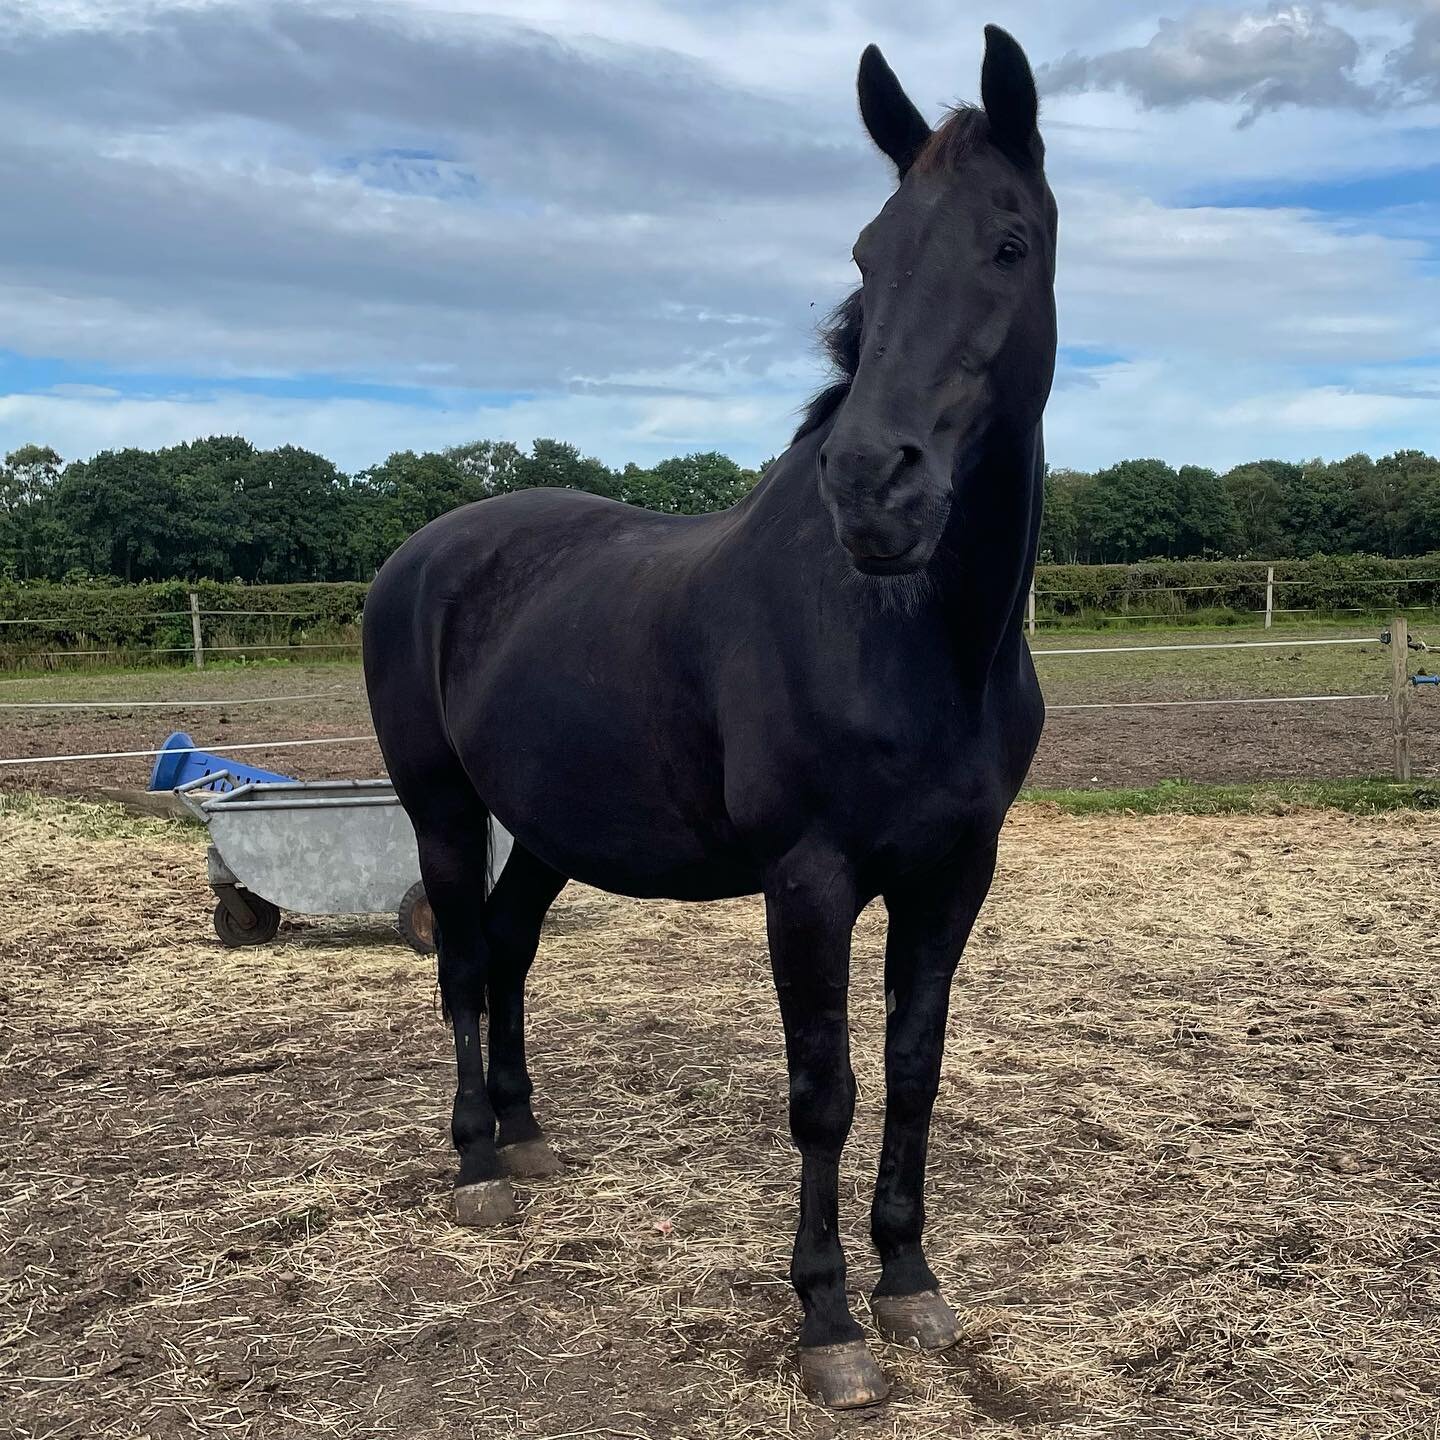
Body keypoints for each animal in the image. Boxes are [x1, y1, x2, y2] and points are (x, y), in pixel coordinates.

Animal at [362, 28, 1059, 1411]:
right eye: (868, 256)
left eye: (1008, 242)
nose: (872, 485)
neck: (905, 633)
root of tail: (425, 551)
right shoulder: (811, 882)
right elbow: (825, 1089)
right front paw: (829, 1325)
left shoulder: (957, 873)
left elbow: (913, 1066)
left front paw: (911, 1284)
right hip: (443, 810)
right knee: (461, 959)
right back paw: (475, 1168)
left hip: (551, 827)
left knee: (509, 949)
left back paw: (527, 1137)